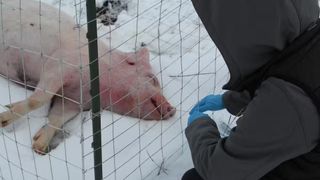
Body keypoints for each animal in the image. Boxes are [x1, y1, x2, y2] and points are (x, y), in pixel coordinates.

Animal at [0, 0, 176, 155]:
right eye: (152, 78)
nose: (172, 108)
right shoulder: (59, 66)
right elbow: (38, 100)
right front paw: (3, 118)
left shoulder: (73, 101)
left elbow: (57, 118)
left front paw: (39, 147)